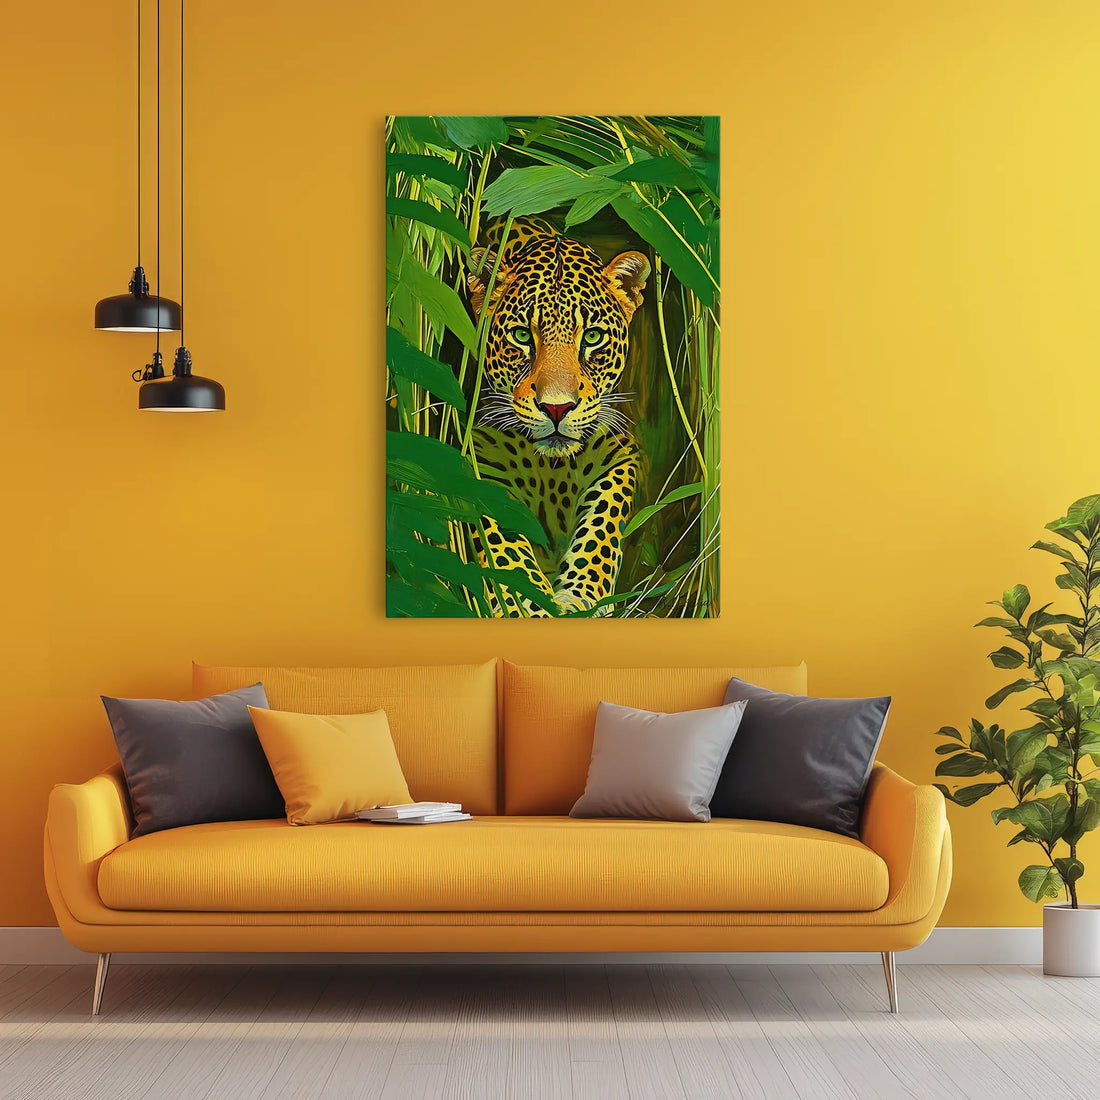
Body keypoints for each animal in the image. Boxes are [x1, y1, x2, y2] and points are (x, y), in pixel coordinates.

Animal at [465, 217, 651, 616]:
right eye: (522, 336)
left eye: (592, 337)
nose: (556, 408)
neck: (551, 469)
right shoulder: (478, 457)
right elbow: (503, 540)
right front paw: (526, 604)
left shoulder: (622, 452)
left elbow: (603, 521)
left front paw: (580, 595)